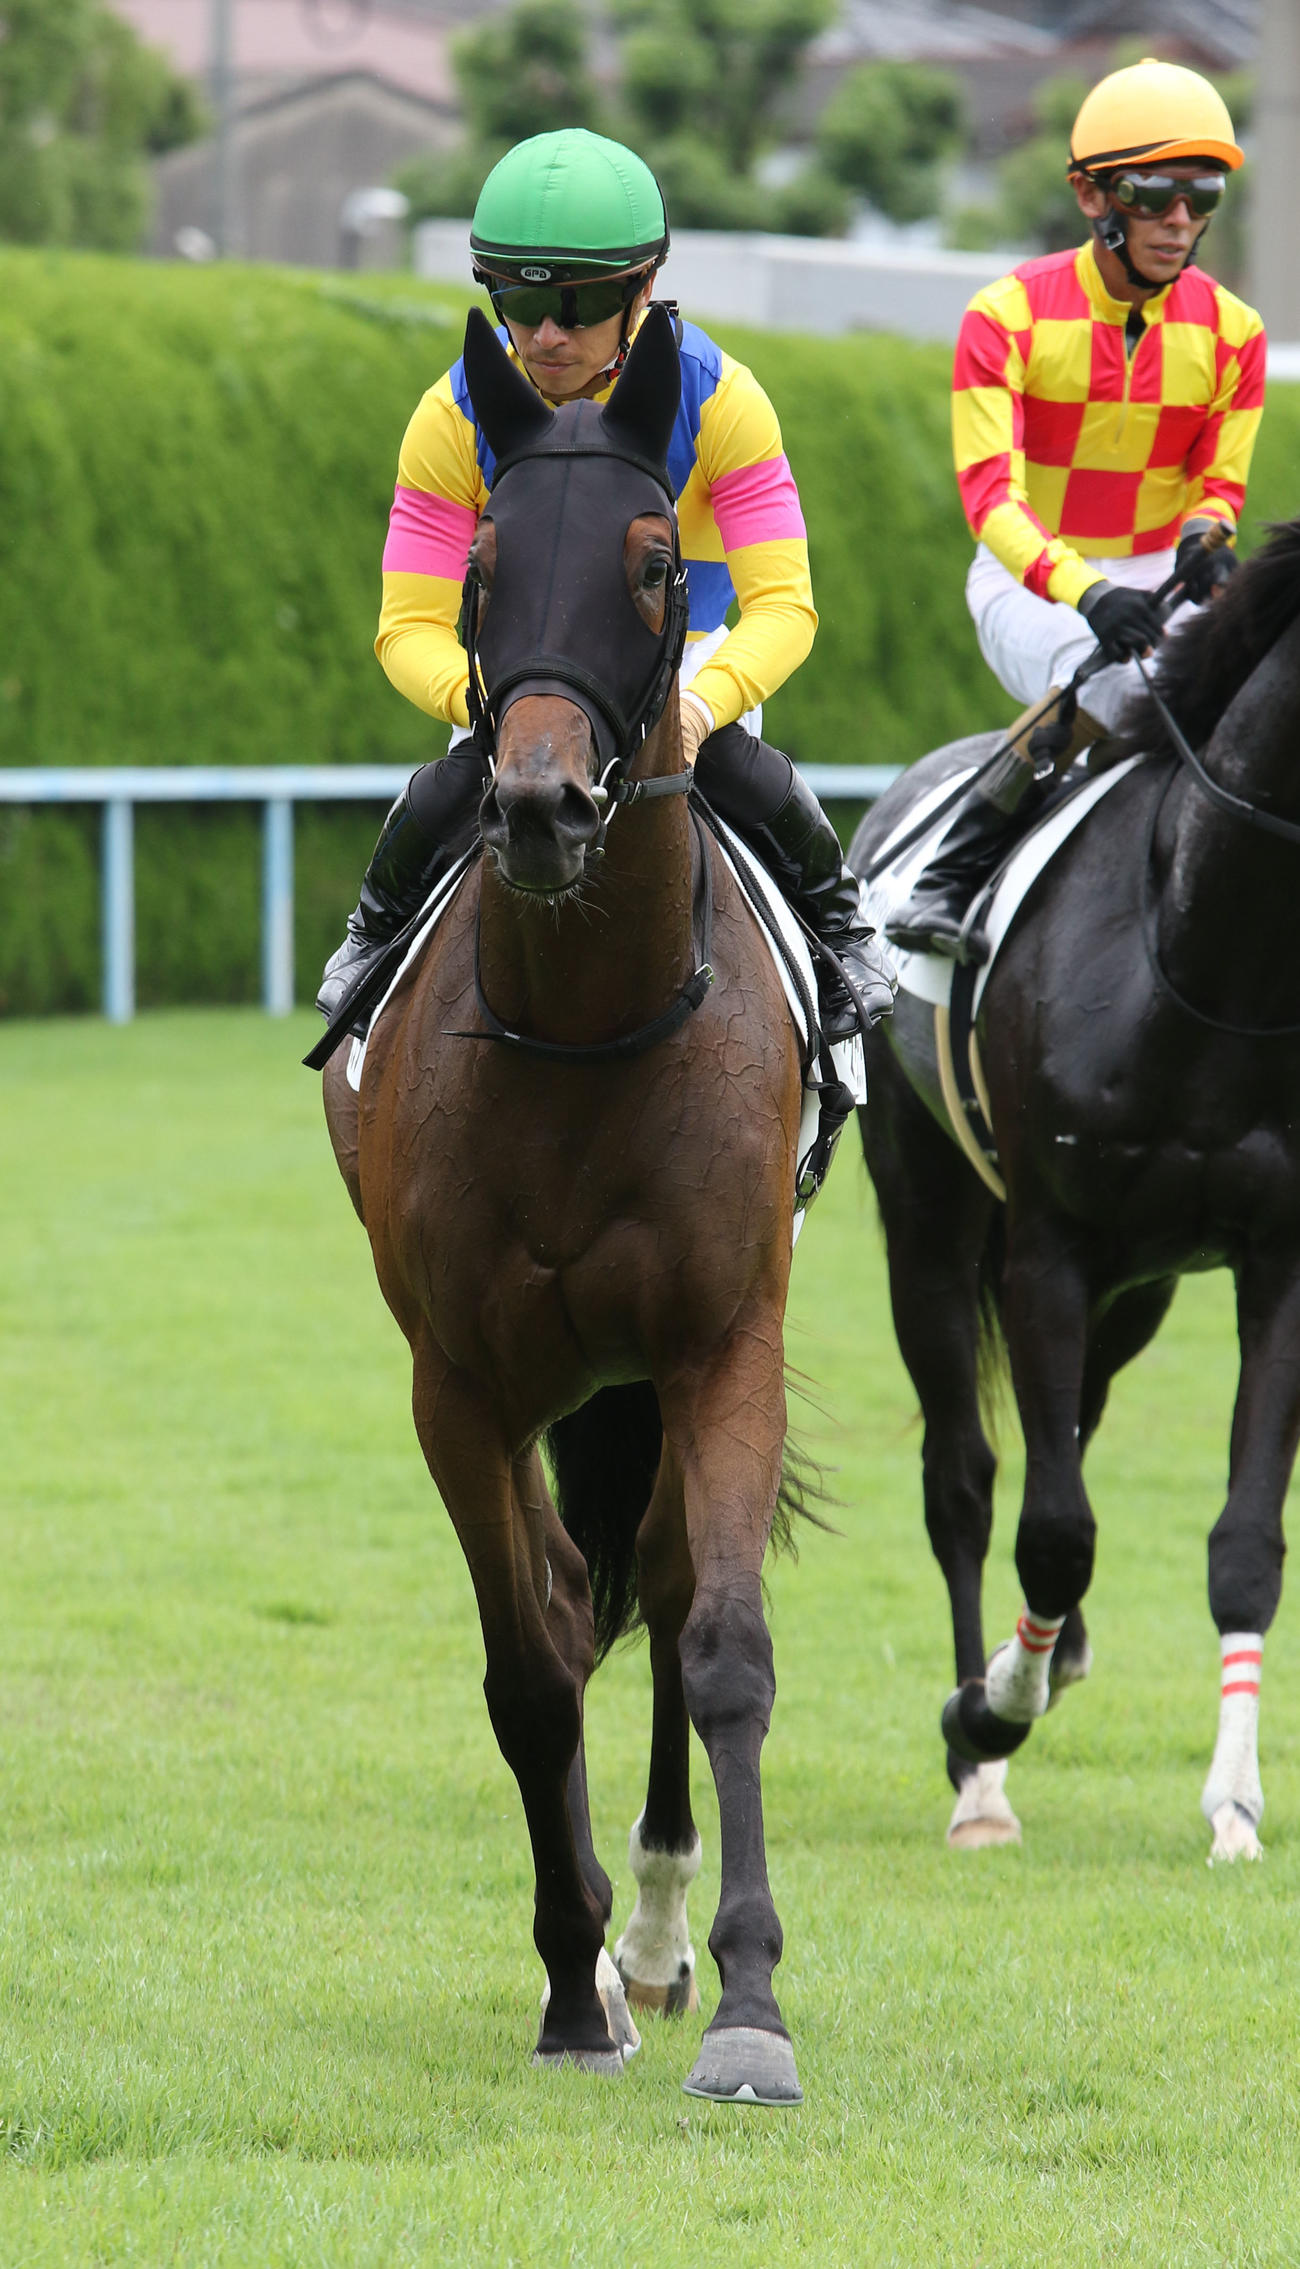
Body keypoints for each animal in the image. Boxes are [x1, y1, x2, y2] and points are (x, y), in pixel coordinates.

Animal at [322, 305, 810, 2102]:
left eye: (660, 566)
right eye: (479, 570)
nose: (537, 806)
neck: (591, 1033)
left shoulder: (721, 1337)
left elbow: (722, 1641)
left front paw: (745, 2001)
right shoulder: (458, 1382)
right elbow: (529, 1667)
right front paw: (565, 1977)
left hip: (647, 1376)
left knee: (658, 1589)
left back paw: (661, 1934)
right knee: (565, 1592)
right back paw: (608, 1949)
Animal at [849, 518, 1300, 1863]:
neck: (1202, 950)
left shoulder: (1274, 1258)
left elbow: (1243, 1542)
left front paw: (1233, 1802)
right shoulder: (1046, 1247)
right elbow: (1051, 1531)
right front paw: (986, 1710)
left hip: (1140, 1283)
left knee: (1080, 1421)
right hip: (931, 1231)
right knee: (964, 1478)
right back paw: (982, 1769)